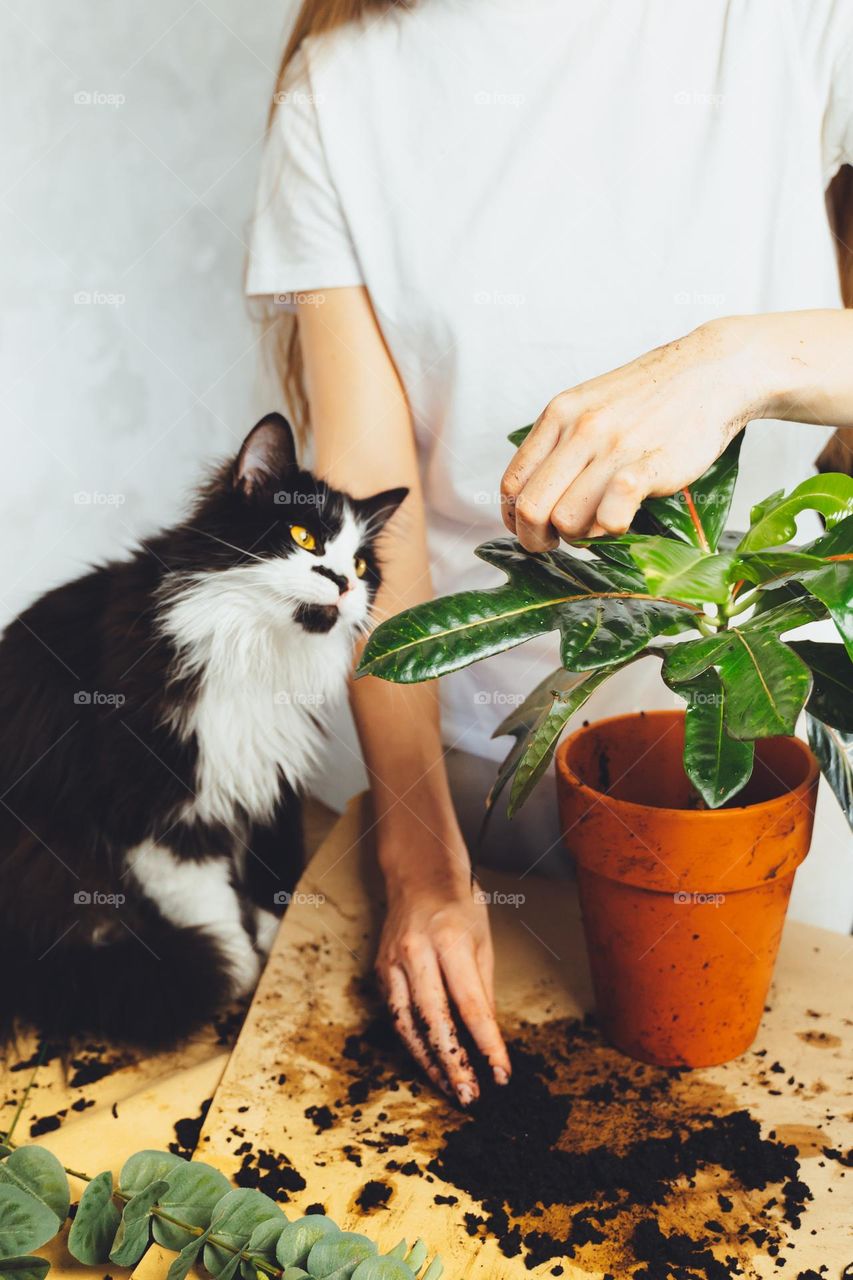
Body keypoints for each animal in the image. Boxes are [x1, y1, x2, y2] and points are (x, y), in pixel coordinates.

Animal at [0, 419, 404, 1049]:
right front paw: (243, 969)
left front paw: (273, 939)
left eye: (362, 567)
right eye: (304, 538)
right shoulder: (158, 810)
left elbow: (272, 877)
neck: (256, 654)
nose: (342, 582)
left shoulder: (269, 781)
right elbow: (211, 909)